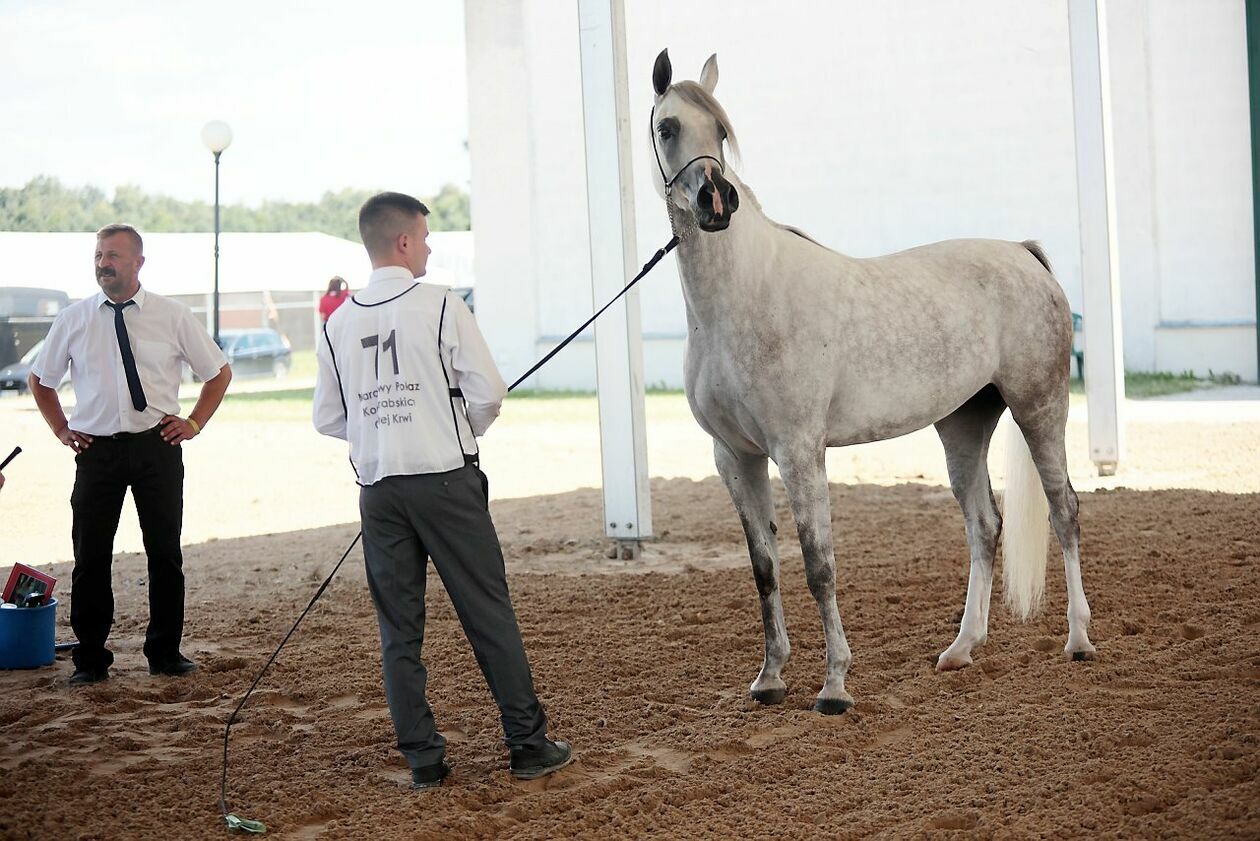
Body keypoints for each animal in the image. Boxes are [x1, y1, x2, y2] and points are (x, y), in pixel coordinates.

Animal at [650, 49, 1093, 716]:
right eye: (667, 127)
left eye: (722, 134)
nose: (716, 200)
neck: (741, 298)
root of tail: (1024, 254)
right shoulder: (735, 456)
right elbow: (764, 568)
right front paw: (770, 679)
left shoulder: (799, 452)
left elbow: (818, 565)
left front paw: (834, 686)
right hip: (963, 425)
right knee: (984, 525)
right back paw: (961, 649)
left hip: (1040, 407)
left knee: (1064, 509)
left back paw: (1079, 641)